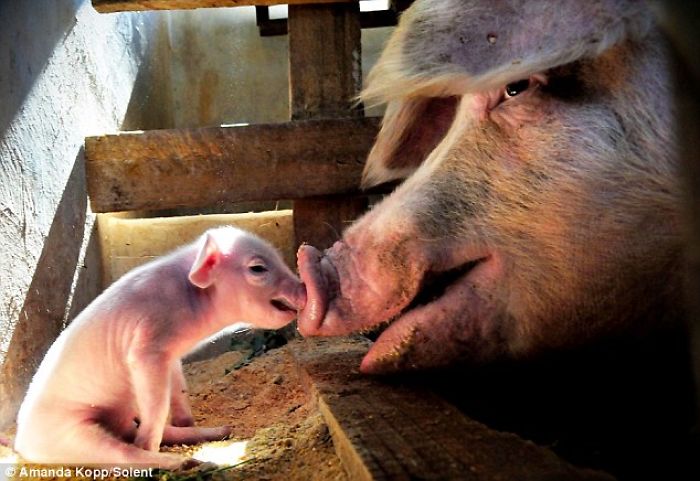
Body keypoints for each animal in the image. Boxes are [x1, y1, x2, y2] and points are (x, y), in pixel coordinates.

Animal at [14, 227, 305, 468]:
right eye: (258, 268)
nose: (304, 288)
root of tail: (20, 443)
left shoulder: (171, 355)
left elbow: (178, 390)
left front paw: (188, 420)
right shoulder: (146, 347)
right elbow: (157, 403)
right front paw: (155, 446)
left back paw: (221, 431)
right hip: (70, 435)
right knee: (121, 452)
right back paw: (188, 463)